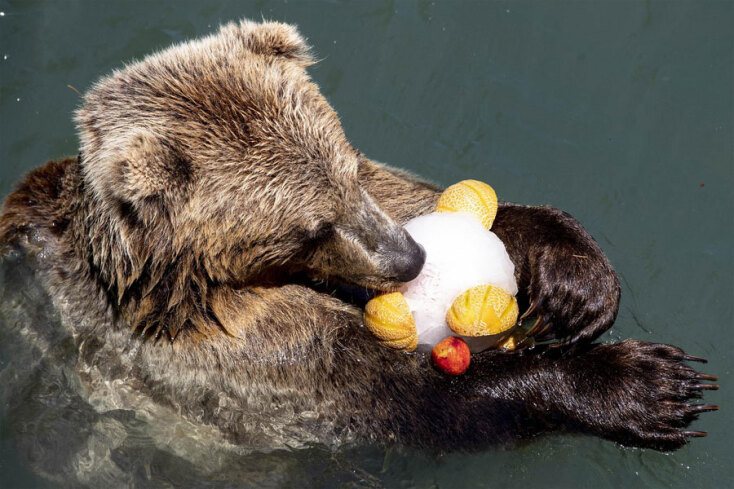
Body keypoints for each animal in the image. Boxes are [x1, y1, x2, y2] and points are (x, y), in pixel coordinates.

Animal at [0, 19, 718, 460]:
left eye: (349, 168)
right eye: (305, 226)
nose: (410, 259)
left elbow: (438, 201)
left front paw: (574, 280)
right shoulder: (228, 361)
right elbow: (412, 401)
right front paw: (647, 384)